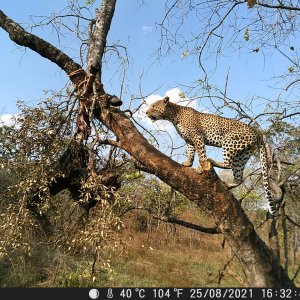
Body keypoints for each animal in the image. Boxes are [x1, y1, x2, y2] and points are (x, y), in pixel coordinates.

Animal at [145, 96, 276, 216]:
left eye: (153, 106)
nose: (146, 112)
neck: (173, 115)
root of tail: (257, 133)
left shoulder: (197, 136)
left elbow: (201, 153)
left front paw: (200, 167)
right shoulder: (189, 140)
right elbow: (190, 152)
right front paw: (188, 163)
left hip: (228, 141)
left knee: (228, 163)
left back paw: (211, 161)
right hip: (242, 155)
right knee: (239, 177)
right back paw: (228, 184)